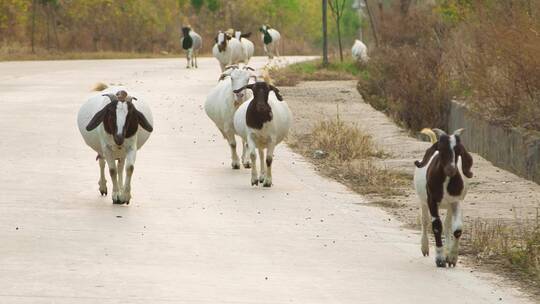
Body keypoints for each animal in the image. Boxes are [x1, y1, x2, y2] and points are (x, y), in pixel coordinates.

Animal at [414, 127, 472, 268]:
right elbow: (436, 226)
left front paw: (451, 257)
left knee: (447, 225)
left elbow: (457, 229)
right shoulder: (432, 201)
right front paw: (440, 258)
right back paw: (425, 248)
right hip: (423, 201)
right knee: (424, 221)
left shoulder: (456, 201)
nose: (451, 169)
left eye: (458, 150)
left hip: (449, 206)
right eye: (441, 148)